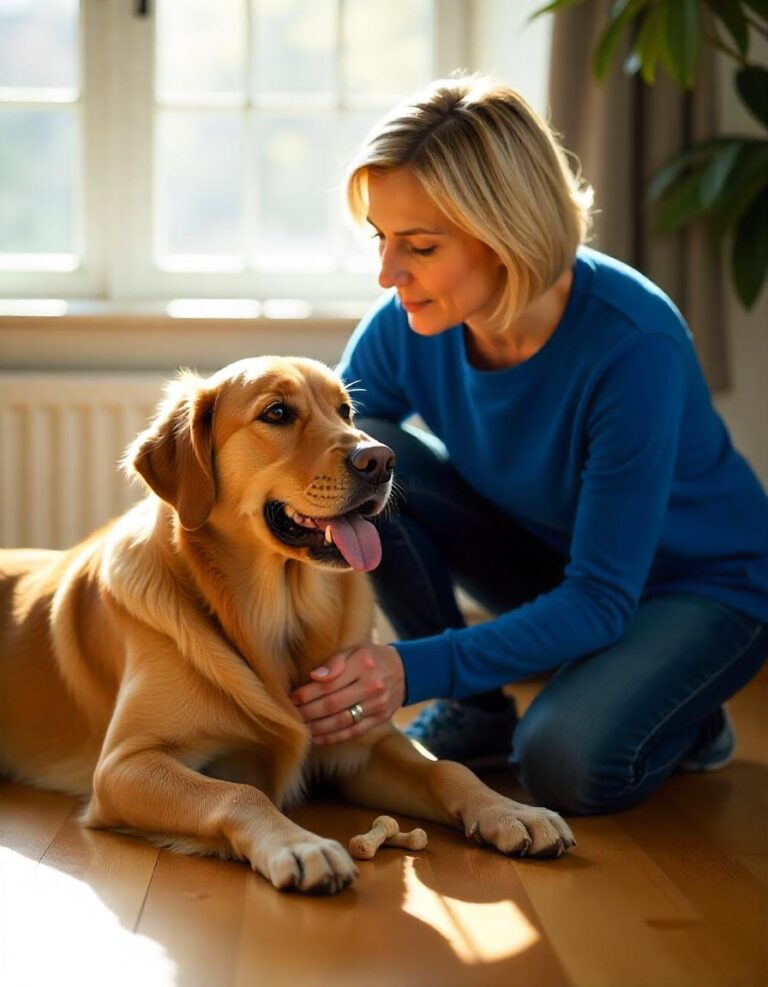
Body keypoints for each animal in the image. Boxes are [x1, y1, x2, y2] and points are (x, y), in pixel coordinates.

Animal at [0, 356, 572, 896]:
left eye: (345, 411)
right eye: (277, 413)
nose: (382, 459)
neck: (277, 614)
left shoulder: (361, 742)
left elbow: (446, 768)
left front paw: (512, 811)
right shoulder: (125, 765)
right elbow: (239, 791)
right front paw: (301, 846)